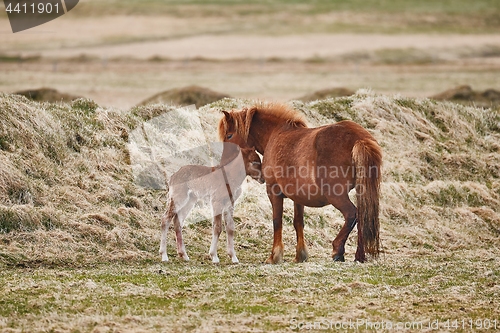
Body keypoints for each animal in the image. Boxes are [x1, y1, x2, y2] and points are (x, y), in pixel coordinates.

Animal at [219, 102, 382, 264]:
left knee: (351, 214)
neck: (275, 134)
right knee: (362, 216)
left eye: (229, 135)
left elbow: (277, 221)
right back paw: (359, 256)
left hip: (336, 195)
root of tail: (359, 139)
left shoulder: (273, 191)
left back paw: (338, 250)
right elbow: (298, 223)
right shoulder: (298, 197)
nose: (222, 162)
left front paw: (274, 256)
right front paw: (300, 255)